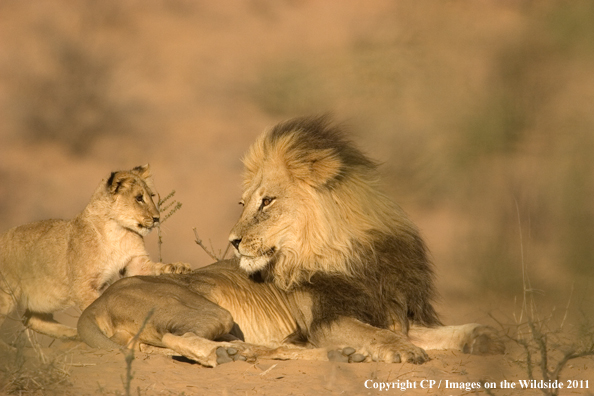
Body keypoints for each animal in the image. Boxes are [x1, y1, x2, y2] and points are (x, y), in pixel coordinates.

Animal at [0, 162, 190, 354]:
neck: (116, 232)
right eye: (138, 198)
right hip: (6, 294)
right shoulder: (83, 286)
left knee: (31, 319)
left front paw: (179, 267)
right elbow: (97, 310)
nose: (157, 218)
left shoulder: (136, 263)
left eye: (151, 196)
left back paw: (73, 335)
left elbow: (154, 268)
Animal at [77, 117, 504, 366]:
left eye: (266, 202)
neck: (353, 256)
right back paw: (225, 354)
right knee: (175, 338)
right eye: (243, 203)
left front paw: (485, 337)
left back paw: (328, 354)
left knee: (268, 348)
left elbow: (450, 331)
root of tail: (95, 305)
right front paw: (402, 350)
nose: (232, 241)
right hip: (210, 312)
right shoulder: (325, 320)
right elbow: (375, 334)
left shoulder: (396, 312)